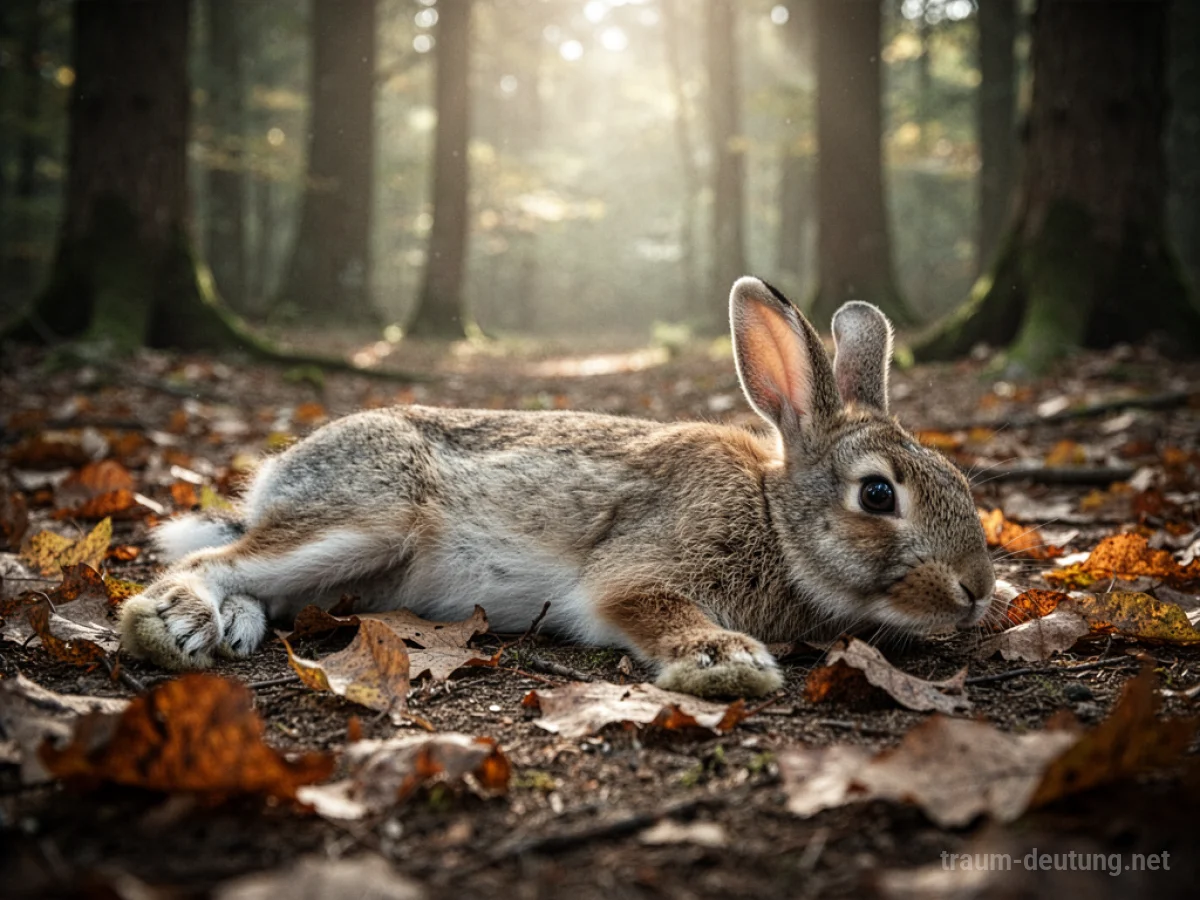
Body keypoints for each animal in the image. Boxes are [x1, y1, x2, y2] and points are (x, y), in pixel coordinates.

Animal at [119, 277, 996, 698]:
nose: (979, 591)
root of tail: (277, 474)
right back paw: (177, 625)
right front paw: (726, 661)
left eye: (957, 479)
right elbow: (648, 606)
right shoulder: (636, 571)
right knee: (204, 563)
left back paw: (231, 626)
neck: (775, 517)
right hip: (371, 516)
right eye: (877, 496)